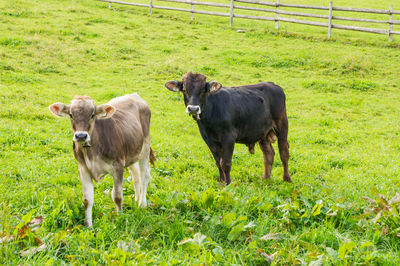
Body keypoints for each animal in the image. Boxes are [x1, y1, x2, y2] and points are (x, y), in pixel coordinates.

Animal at [48, 93, 155, 227]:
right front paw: (88, 225)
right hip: (132, 151)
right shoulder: (83, 169)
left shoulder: (118, 166)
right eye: (71, 114)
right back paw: (136, 199)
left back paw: (142, 204)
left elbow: (117, 196)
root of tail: (134, 95)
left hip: (145, 147)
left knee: (144, 175)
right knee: (136, 176)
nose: (81, 135)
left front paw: (119, 218)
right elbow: (87, 199)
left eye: (92, 115)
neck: (91, 152)